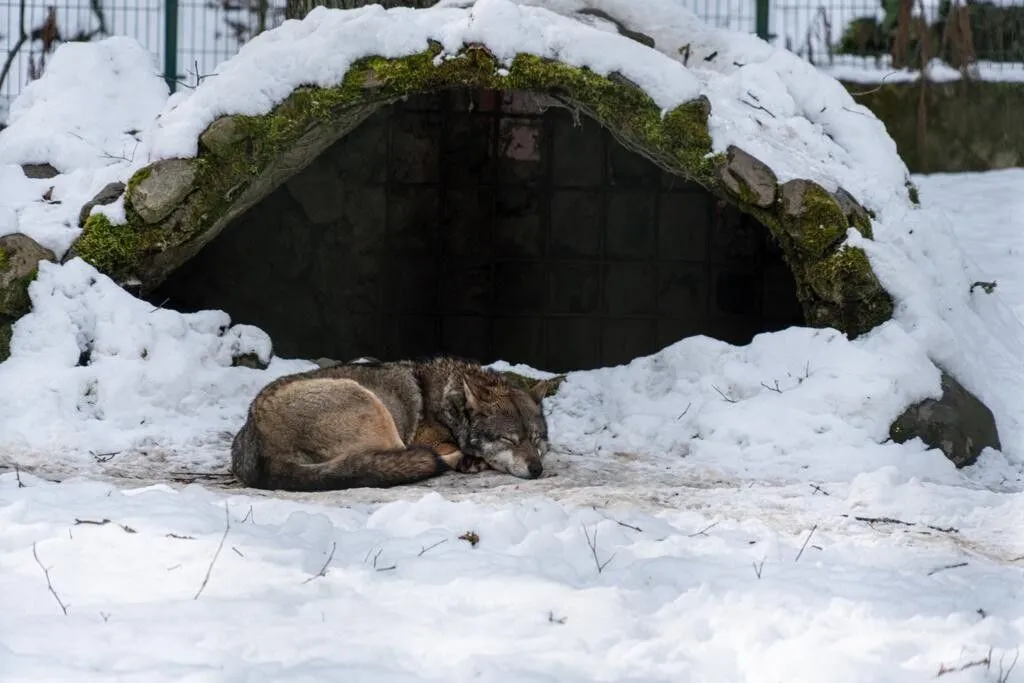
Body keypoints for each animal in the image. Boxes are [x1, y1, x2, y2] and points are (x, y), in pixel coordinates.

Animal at [231, 358, 552, 491]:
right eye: (509, 440)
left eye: (536, 439)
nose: (537, 469)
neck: (449, 404)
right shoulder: (430, 439)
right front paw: (473, 459)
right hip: (373, 406)